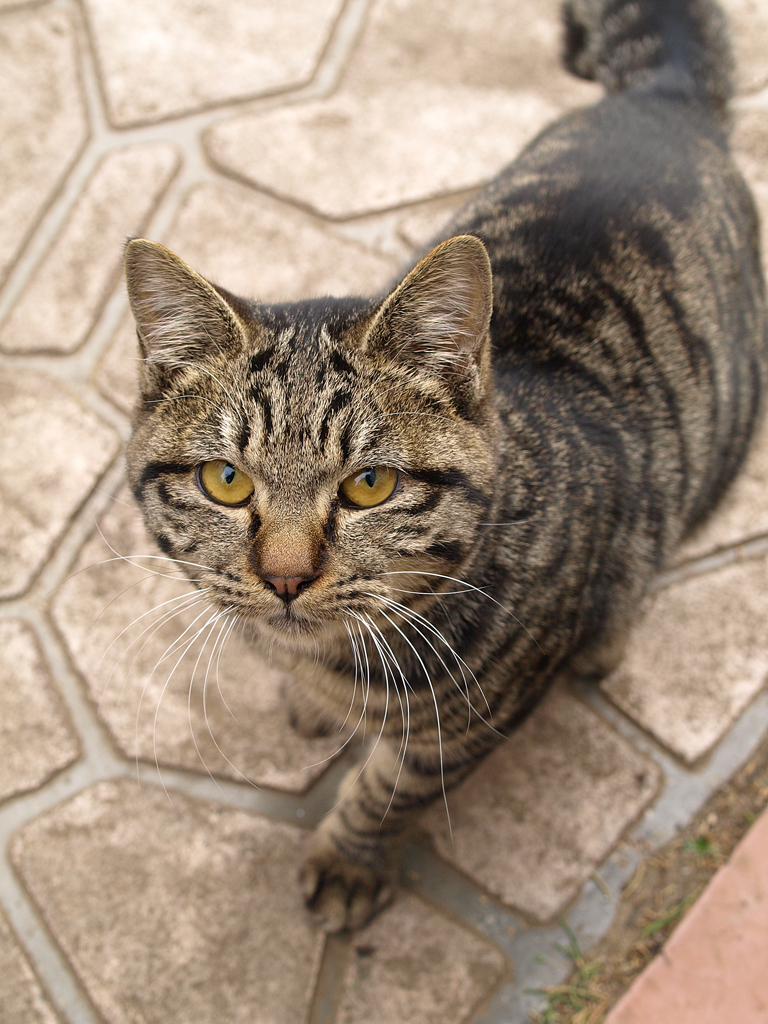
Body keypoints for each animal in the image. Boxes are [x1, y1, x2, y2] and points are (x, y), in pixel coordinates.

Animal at [123, 0, 765, 933]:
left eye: (370, 485)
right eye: (226, 480)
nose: (284, 578)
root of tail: (663, 99)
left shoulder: (466, 728)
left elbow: (389, 793)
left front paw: (349, 861)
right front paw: (306, 704)